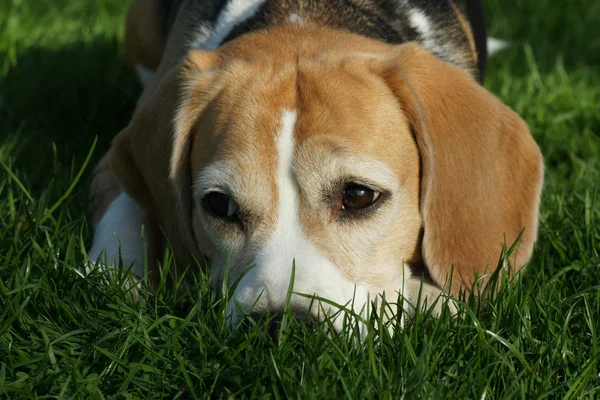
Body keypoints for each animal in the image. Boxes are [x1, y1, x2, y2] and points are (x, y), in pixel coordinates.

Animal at [88, 0, 544, 330]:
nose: (280, 326)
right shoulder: (115, 158)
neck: (306, 12)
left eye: (358, 196)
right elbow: (120, 217)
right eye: (220, 206)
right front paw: (118, 279)